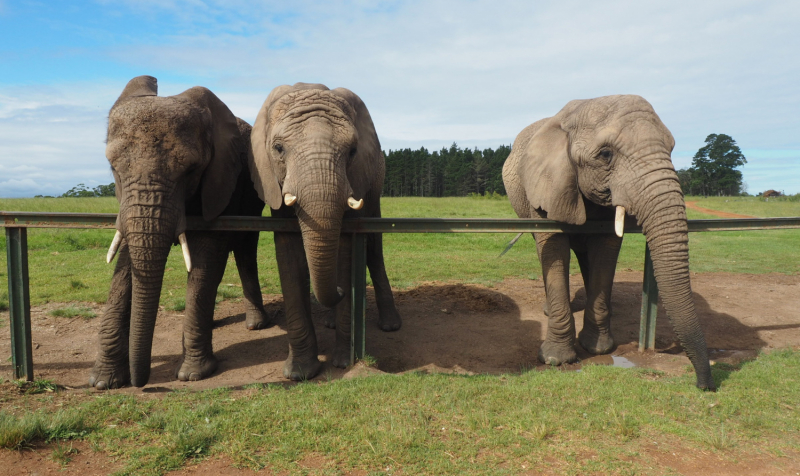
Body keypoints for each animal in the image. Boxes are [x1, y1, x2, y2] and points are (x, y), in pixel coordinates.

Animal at [89, 73, 274, 386]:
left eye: (191, 170)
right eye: (113, 167)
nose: (142, 382)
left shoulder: (222, 178)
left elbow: (206, 257)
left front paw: (193, 374)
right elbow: (125, 260)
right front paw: (104, 380)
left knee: (245, 248)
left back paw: (256, 325)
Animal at [248, 82, 404, 380]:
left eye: (353, 151)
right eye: (278, 148)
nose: (342, 290)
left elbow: (345, 250)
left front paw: (343, 363)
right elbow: (289, 255)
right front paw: (299, 373)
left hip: (376, 183)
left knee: (373, 247)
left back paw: (391, 325)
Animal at [504, 96, 716, 390]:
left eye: (672, 148)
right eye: (605, 154)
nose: (704, 385)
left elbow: (605, 252)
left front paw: (597, 348)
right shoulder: (545, 188)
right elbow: (553, 247)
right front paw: (555, 359)